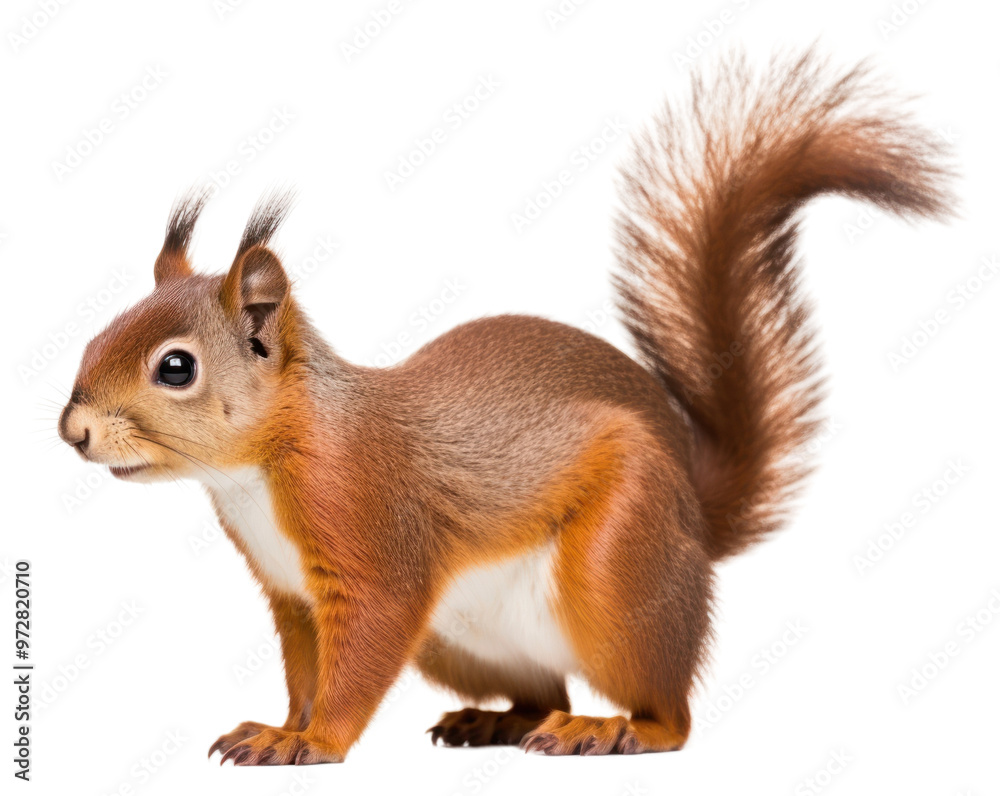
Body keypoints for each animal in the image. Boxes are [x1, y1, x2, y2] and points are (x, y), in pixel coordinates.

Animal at [58, 51, 950, 764]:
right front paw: (281, 729)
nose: (72, 432)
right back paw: (497, 723)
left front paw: (315, 744)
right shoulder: (294, 599)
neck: (262, 468)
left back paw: (614, 729)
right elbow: (306, 675)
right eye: (97, 332)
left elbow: (357, 663)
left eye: (176, 368)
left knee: (670, 711)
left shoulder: (374, 544)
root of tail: (696, 524)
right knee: (541, 691)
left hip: (616, 574)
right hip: (464, 644)